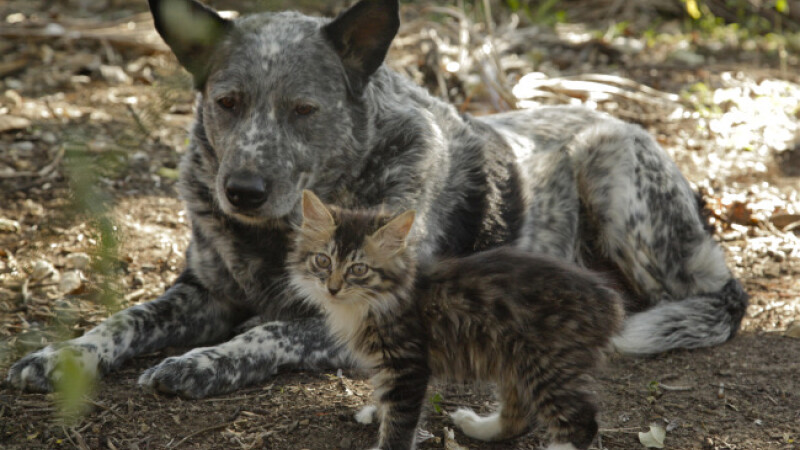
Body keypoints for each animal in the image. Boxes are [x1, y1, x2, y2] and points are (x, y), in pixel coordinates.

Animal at [6, 0, 748, 400]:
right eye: (228, 102)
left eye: (304, 109)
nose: (241, 191)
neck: (278, 233)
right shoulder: (202, 292)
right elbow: (122, 319)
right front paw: (62, 356)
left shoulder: (376, 316)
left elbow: (269, 331)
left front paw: (202, 362)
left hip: (612, 170)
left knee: (713, 298)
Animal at [288, 191, 624, 450]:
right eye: (323, 261)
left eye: (358, 270)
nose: (332, 288)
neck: (376, 300)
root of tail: (609, 300)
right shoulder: (387, 368)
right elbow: (386, 403)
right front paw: (376, 413)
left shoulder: (407, 365)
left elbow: (399, 424)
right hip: (515, 361)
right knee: (521, 416)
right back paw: (476, 425)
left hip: (549, 365)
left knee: (581, 423)